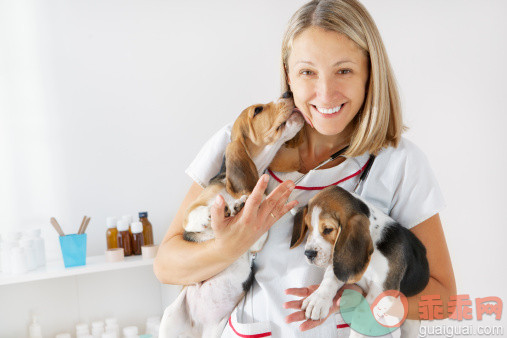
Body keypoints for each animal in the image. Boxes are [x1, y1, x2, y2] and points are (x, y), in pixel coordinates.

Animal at [162, 94, 306, 338]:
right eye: (258, 110)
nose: (288, 95)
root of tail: (196, 329)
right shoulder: (192, 212)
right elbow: (196, 214)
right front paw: (213, 215)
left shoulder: (255, 244)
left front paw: (245, 205)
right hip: (169, 317)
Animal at [290, 186, 428, 336]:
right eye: (308, 227)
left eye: (328, 229)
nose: (308, 254)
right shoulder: (340, 265)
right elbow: (330, 278)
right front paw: (317, 300)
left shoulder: (384, 290)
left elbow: (362, 314)